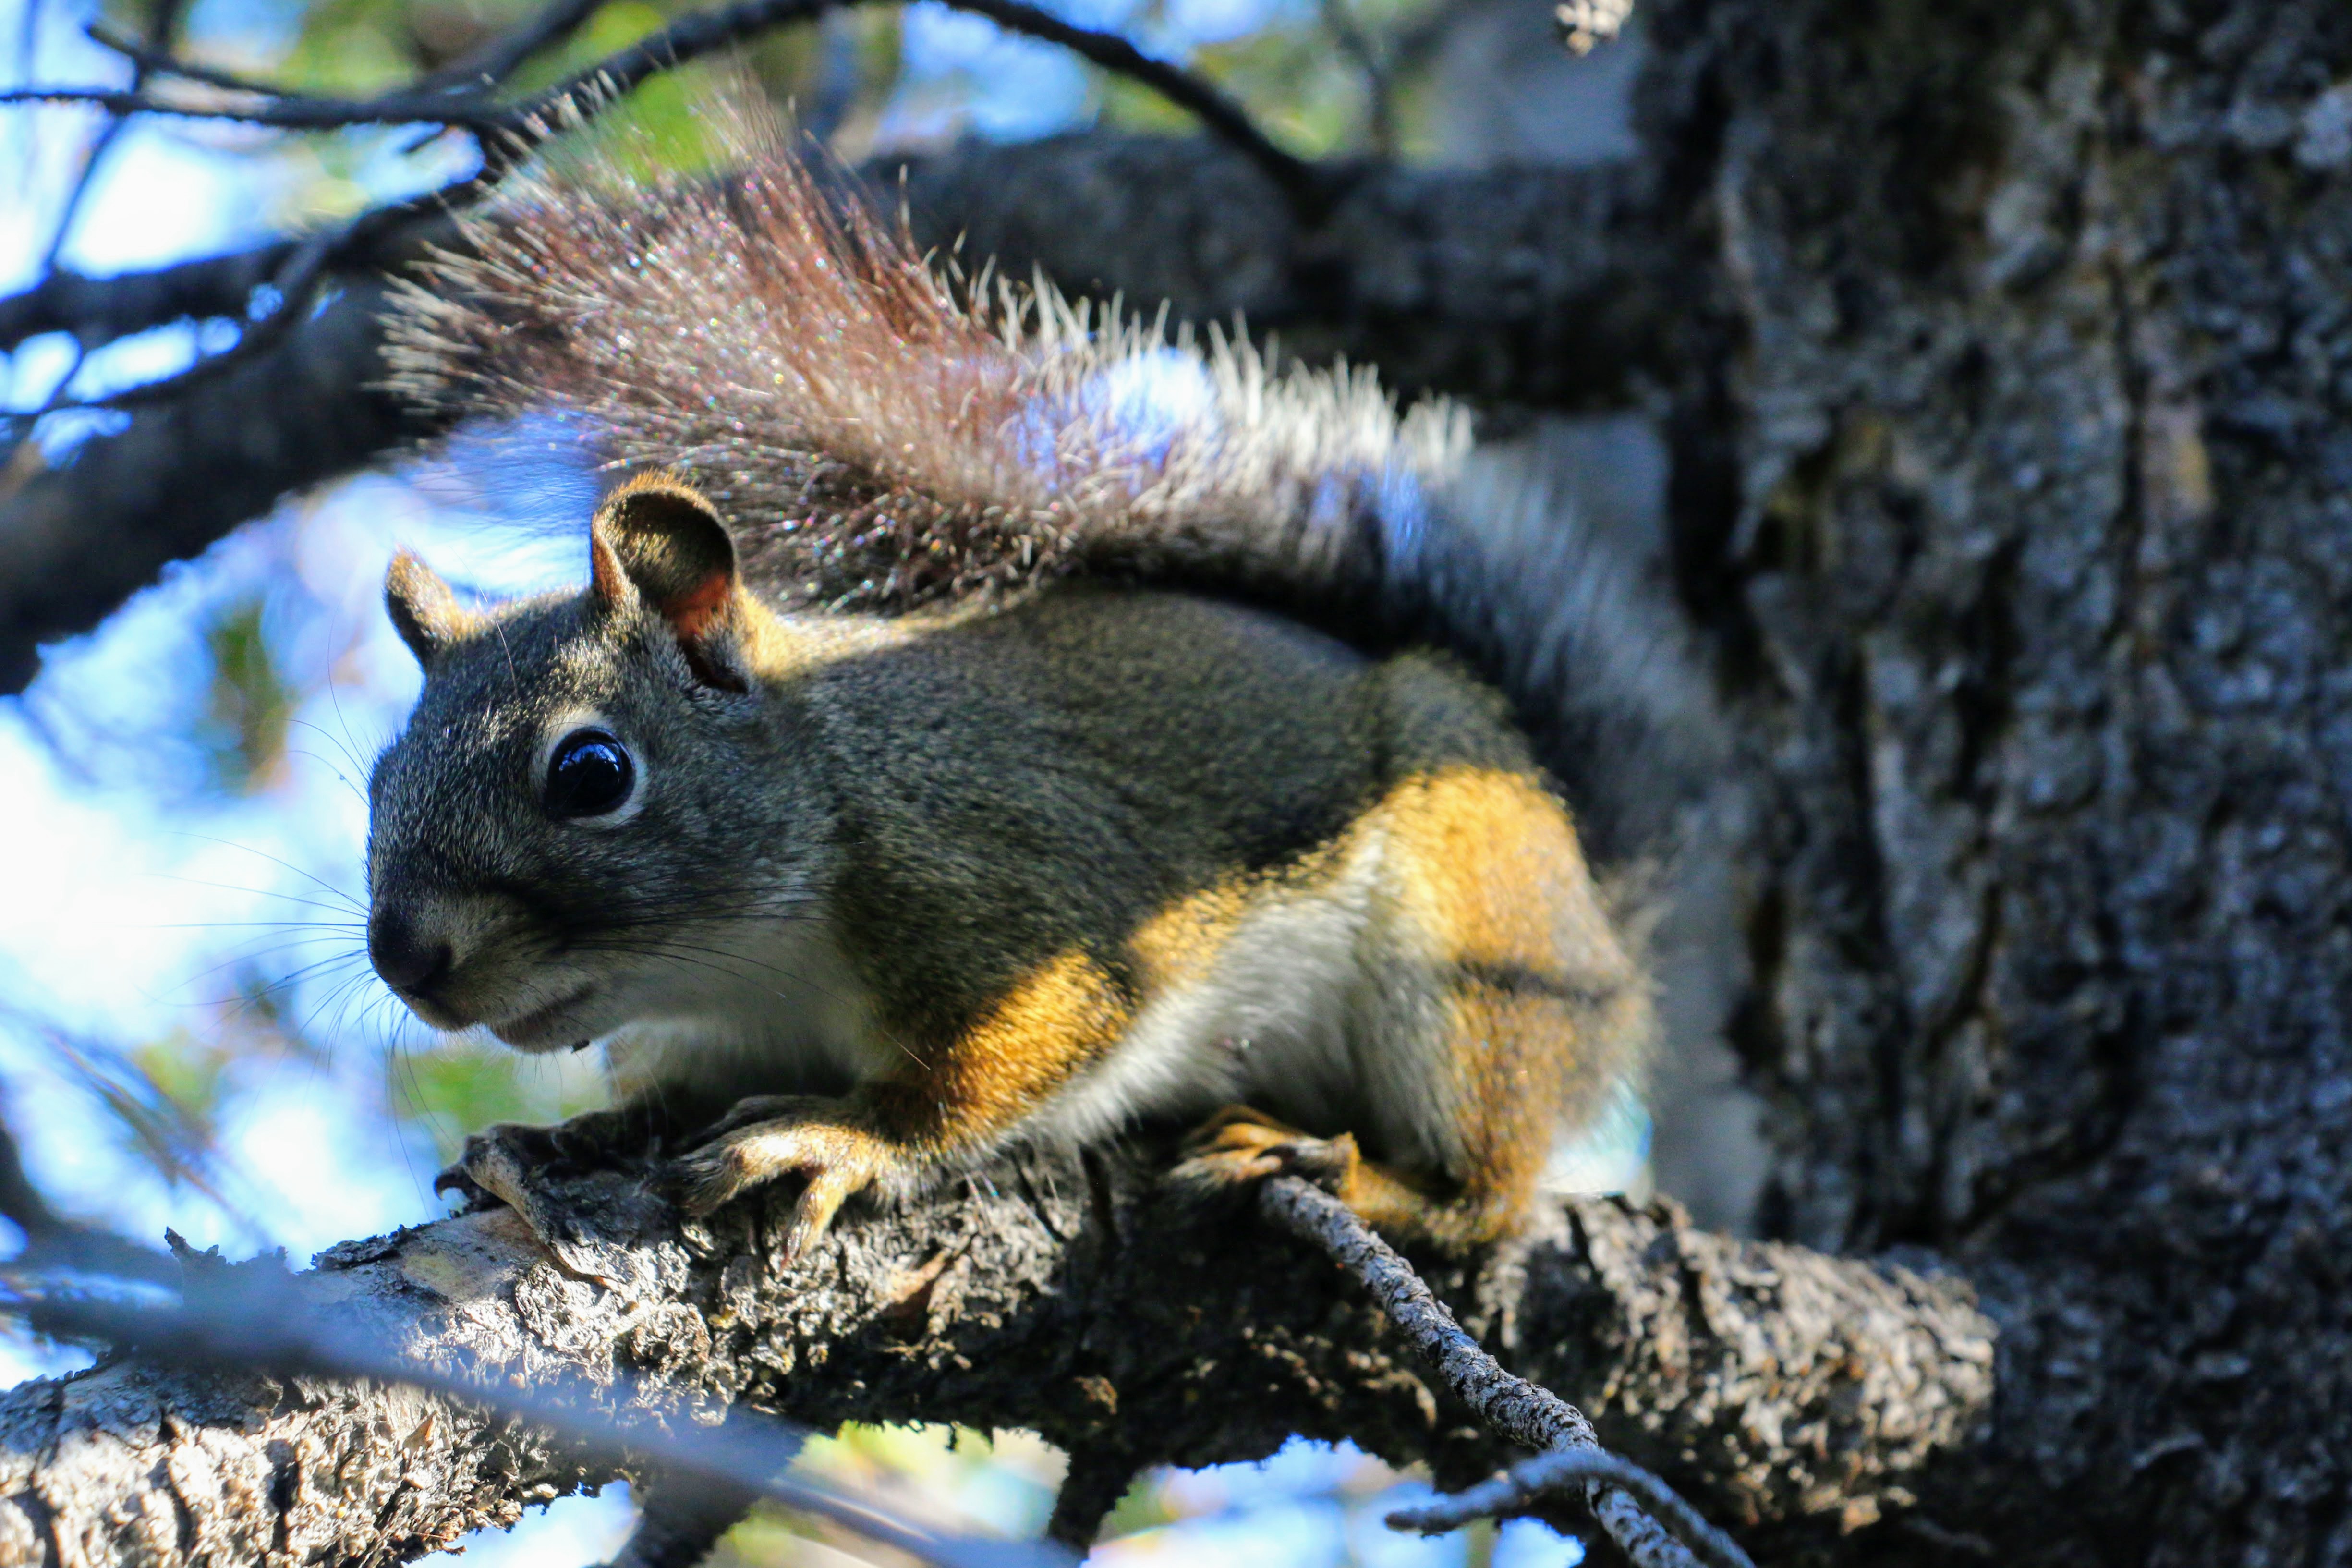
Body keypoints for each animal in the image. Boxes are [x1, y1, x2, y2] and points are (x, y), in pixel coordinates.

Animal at [362, 135, 1693, 1260]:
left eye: (592, 773)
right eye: (378, 778)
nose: (404, 956)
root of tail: (1602, 933)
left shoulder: (1020, 895)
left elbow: (998, 1064)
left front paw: (842, 1135)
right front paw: (564, 1138)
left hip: (1475, 949)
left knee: (1490, 1187)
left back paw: (1351, 1169)